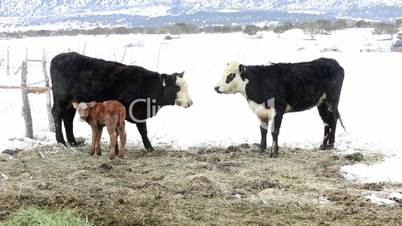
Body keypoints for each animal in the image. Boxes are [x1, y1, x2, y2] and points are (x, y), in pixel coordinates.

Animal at [50, 51, 193, 150]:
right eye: (177, 87)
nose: (190, 102)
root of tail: (59, 57)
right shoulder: (133, 113)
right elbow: (140, 130)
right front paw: (149, 147)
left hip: (72, 101)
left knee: (68, 118)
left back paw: (73, 142)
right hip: (61, 98)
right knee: (57, 114)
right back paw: (61, 141)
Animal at [215, 57, 344, 157]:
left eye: (231, 75)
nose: (216, 87)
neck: (260, 82)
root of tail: (332, 61)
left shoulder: (278, 110)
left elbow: (274, 131)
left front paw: (274, 152)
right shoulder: (260, 112)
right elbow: (263, 131)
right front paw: (261, 149)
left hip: (332, 101)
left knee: (333, 120)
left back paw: (331, 145)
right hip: (321, 103)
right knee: (326, 122)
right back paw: (323, 146)